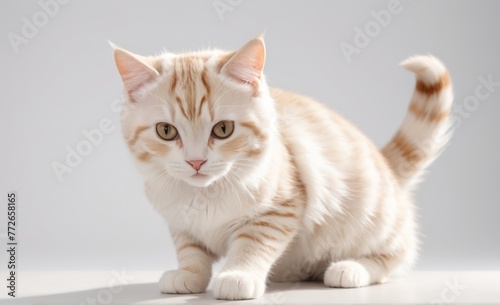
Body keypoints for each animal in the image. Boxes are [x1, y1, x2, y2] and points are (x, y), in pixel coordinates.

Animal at [110, 34, 454, 298]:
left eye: (223, 129)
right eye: (166, 131)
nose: (196, 161)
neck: (205, 194)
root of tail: (387, 167)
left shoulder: (280, 207)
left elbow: (252, 245)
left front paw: (238, 276)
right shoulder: (180, 222)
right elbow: (191, 250)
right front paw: (189, 275)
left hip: (373, 219)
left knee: (394, 256)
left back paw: (349, 269)